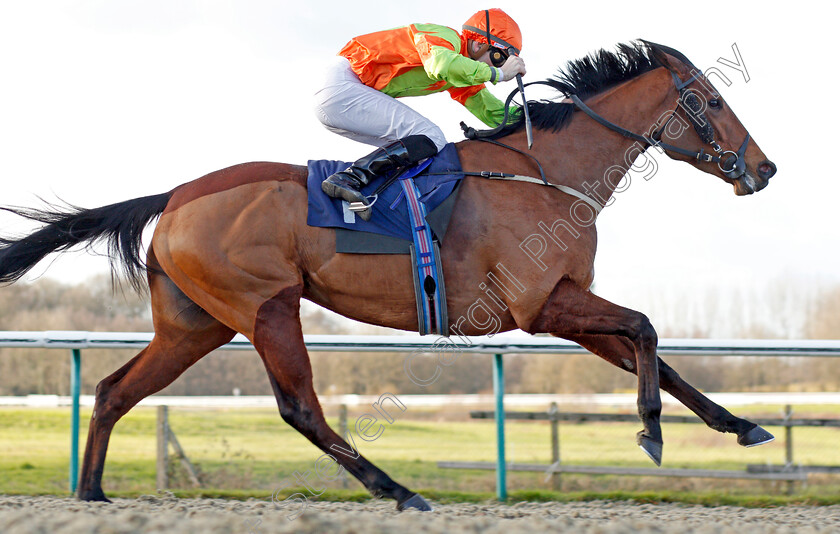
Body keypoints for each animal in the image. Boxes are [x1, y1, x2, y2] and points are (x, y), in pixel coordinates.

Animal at [0, 42, 776, 510]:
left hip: (196, 325)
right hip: (266, 306)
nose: (764, 169)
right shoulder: (542, 307)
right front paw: (650, 431)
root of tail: (177, 195)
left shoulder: (564, 302)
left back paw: (92, 494)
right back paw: (398, 489)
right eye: (710, 101)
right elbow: (645, 328)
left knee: (112, 389)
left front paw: (739, 425)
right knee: (300, 407)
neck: (544, 171)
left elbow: (657, 355)